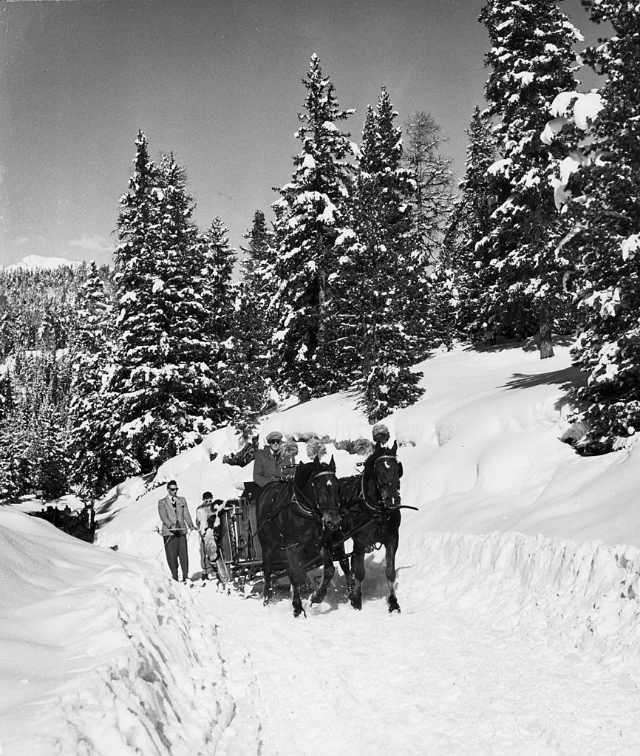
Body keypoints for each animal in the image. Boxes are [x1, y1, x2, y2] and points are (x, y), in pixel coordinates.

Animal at [256, 458, 342, 616]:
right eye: (318, 487)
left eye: (337, 485)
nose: (334, 521)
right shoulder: (292, 546)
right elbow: (295, 575)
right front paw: (298, 608)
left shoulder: (324, 543)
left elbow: (329, 570)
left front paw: (315, 598)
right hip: (267, 547)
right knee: (268, 572)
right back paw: (267, 599)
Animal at [338, 440, 402, 612]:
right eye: (378, 470)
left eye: (398, 468)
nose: (392, 500)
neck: (378, 511)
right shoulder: (359, 541)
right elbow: (360, 572)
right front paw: (356, 600)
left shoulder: (392, 539)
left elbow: (390, 571)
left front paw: (393, 602)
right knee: (345, 564)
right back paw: (350, 590)